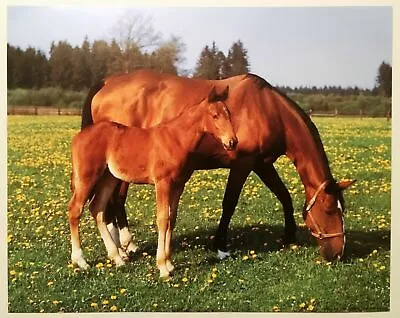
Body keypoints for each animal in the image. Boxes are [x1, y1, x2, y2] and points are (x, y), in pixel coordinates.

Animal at [68, 86, 238, 278]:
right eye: (215, 115)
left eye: (229, 114)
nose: (232, 142)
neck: (176, 139)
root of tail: (78, 137)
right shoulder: (162, 183)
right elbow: (162, 219)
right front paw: (162, 267)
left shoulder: (178, 185)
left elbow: (172, 219)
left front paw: (170, 264)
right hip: (87, 177)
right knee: (75, 210)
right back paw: (81, 260)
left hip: (109, 178)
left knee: (97, 209)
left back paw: (117, 258)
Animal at [81, 71, 354, 262]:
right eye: (330, 210)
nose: (339, 253)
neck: (267, 109)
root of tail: (106, 82)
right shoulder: (243, 164)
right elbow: (229, 203)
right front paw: (221, 247)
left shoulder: (262, 165)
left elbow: (284, 196)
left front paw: (289, 237)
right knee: (115, 200)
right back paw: (124, 247)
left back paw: (122, 246)